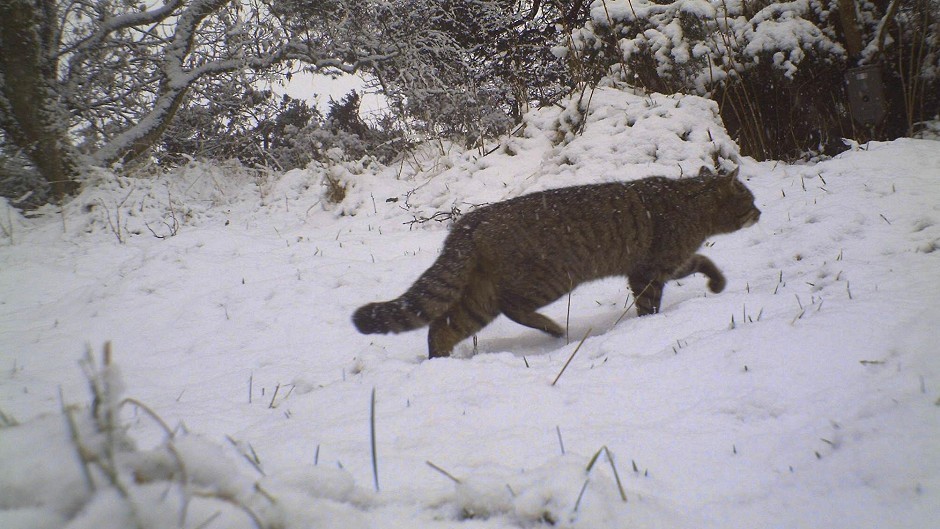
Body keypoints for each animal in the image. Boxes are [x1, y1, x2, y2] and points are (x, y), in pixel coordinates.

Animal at [356, 167, 760, 356]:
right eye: (750, 199)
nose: (760, 211)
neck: (691, 203)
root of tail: (469, 221)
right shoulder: (649, 271)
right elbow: (650, 306)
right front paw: (649, 326)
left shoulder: (669, 265)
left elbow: (703, 260)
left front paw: (717, 283)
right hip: (548, 279)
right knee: (511, 307)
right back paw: (552, 328)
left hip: (479, 298)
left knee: (442, 326)